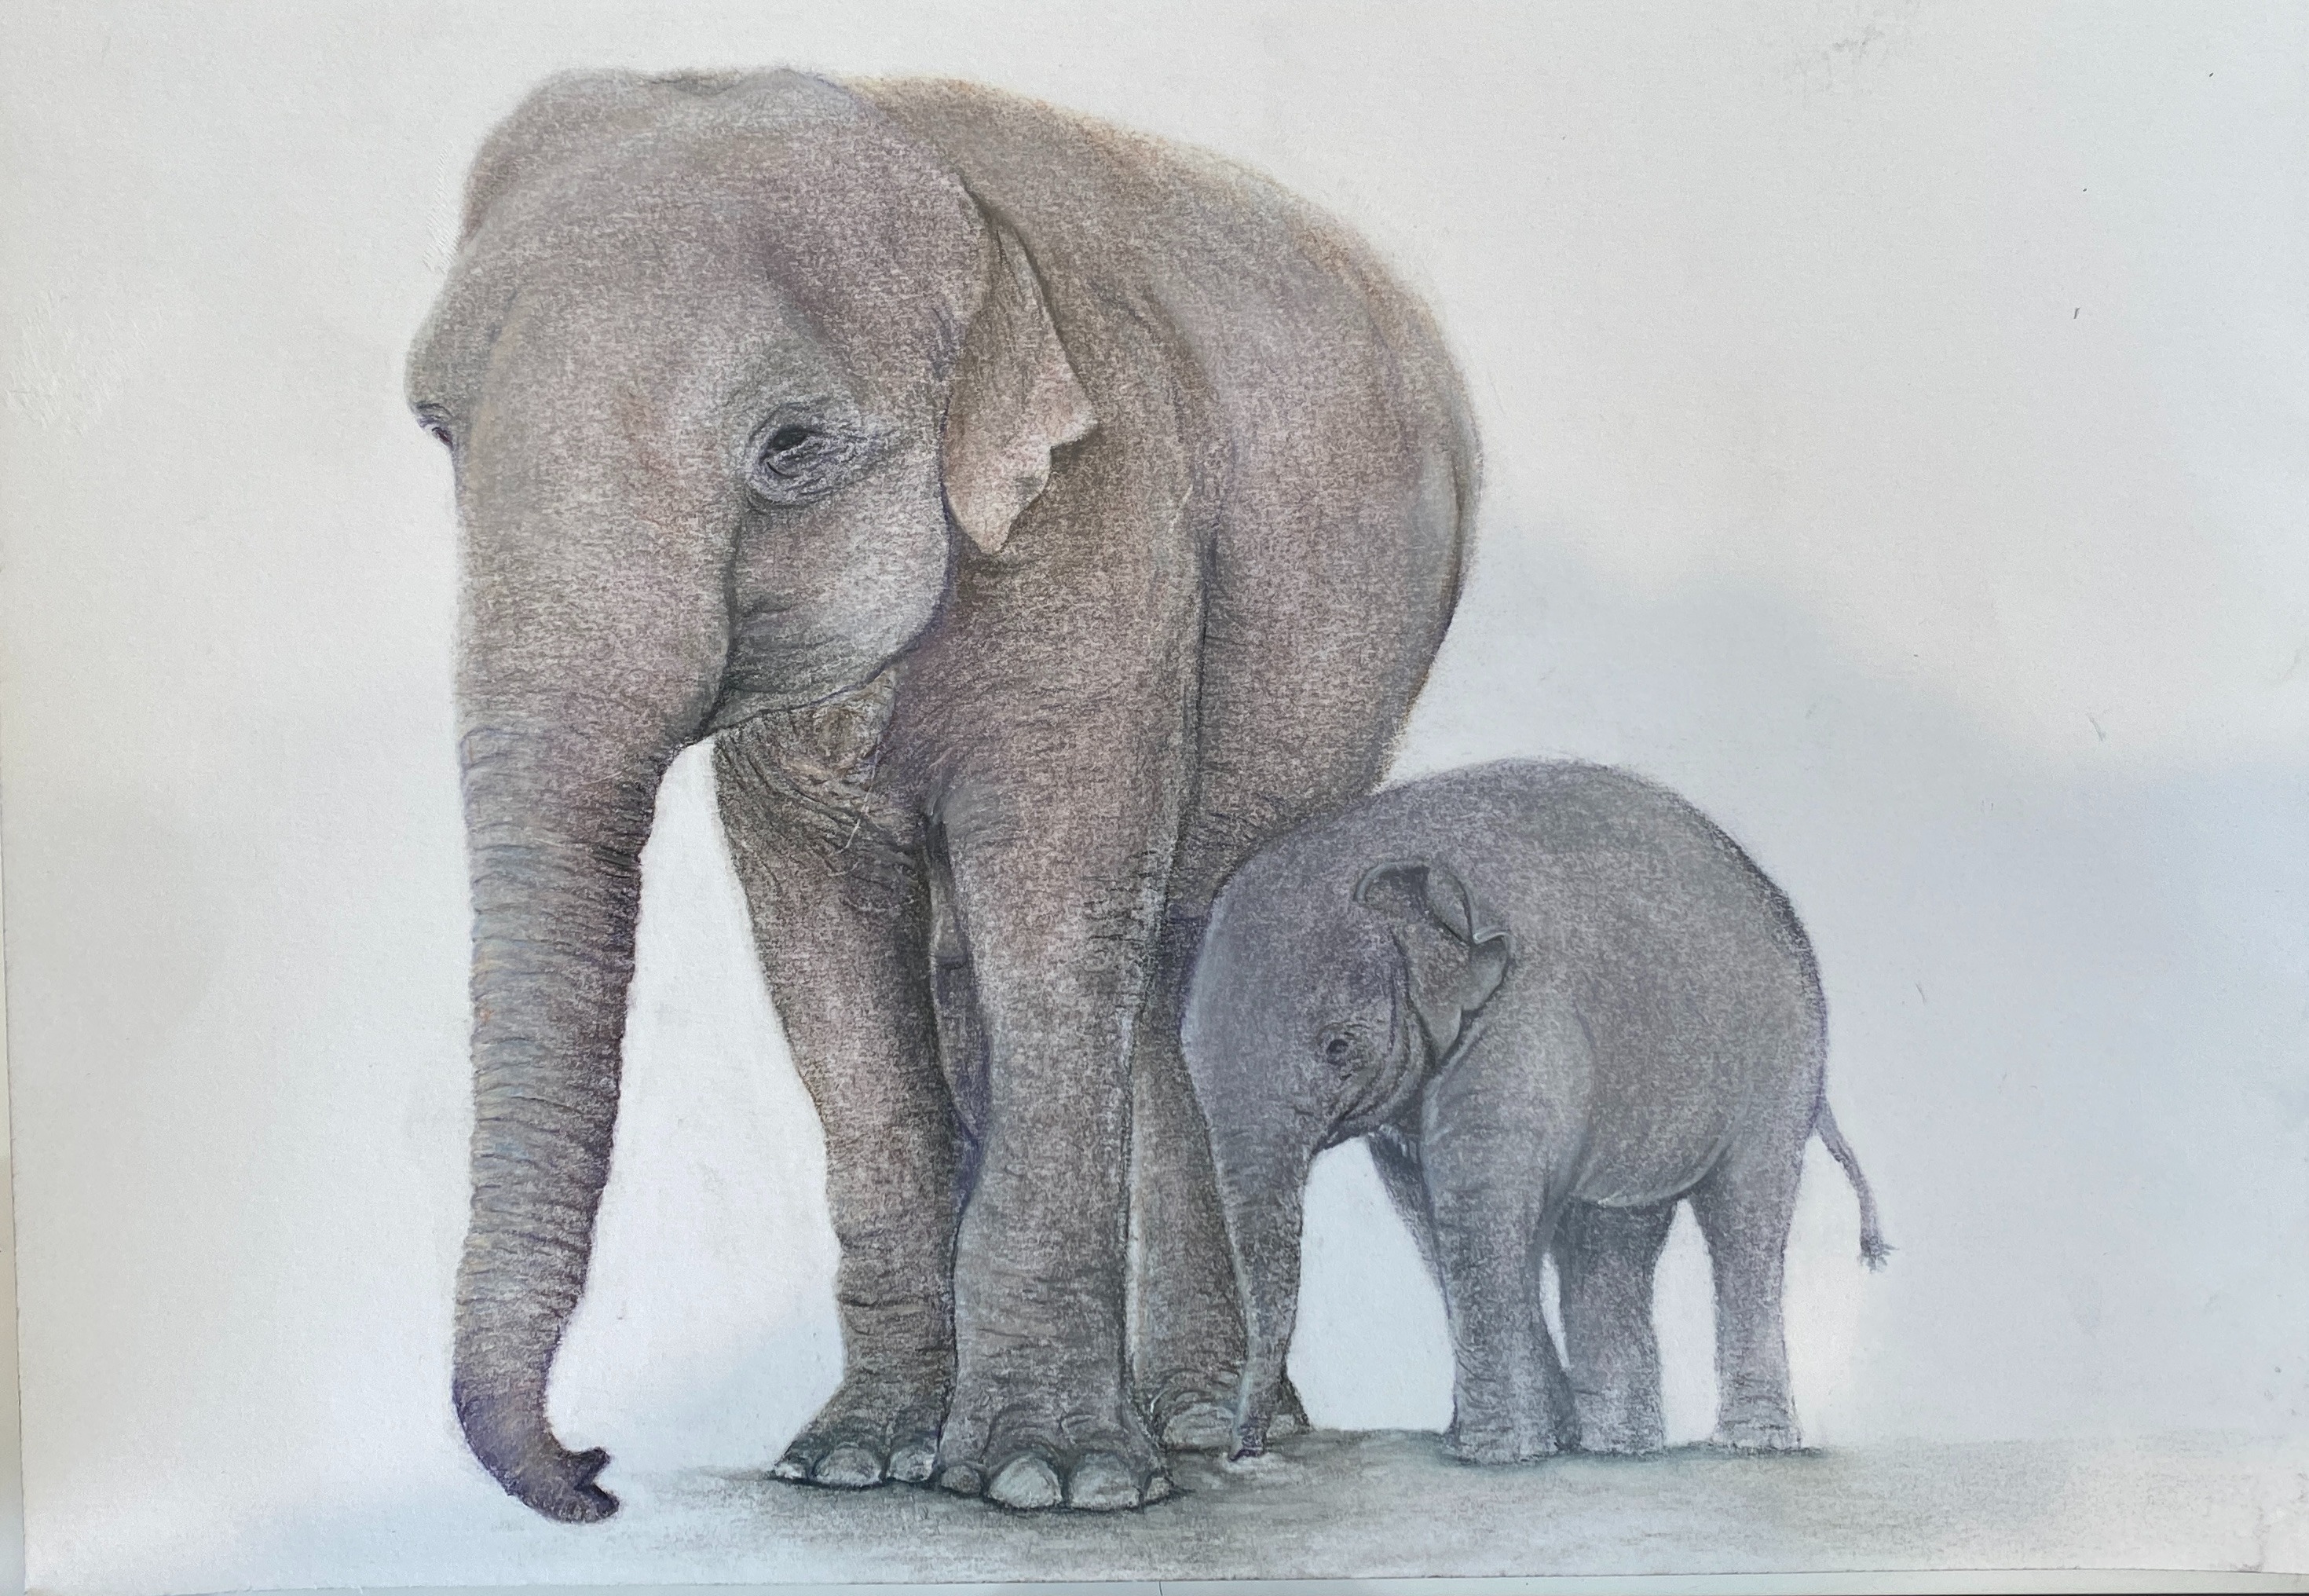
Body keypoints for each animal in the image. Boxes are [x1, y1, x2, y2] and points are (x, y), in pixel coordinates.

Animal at [404, 70, 1473, 1520]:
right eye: (439, 429)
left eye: (792, 449)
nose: (598, 1471)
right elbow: (826, 956)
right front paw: (855, 1458)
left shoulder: (1108, 517)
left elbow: (1054, 900)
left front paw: (1048, 1478)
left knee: (1181, 944)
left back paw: (1205, 1429)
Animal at [1177, 760, 1888, 1465]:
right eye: (1187, 1052)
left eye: (1338, 1046)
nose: (1245, 1452)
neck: (1378, 848)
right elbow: (1433, 1211)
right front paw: (1530, 1435)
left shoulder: (1526, 1016)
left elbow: (1477, 1204)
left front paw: (1495, 1453)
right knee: (1612, 1237)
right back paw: (1620, 1448)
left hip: (1782, 1065)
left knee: (1745, 1219)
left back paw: (1752, 1443)